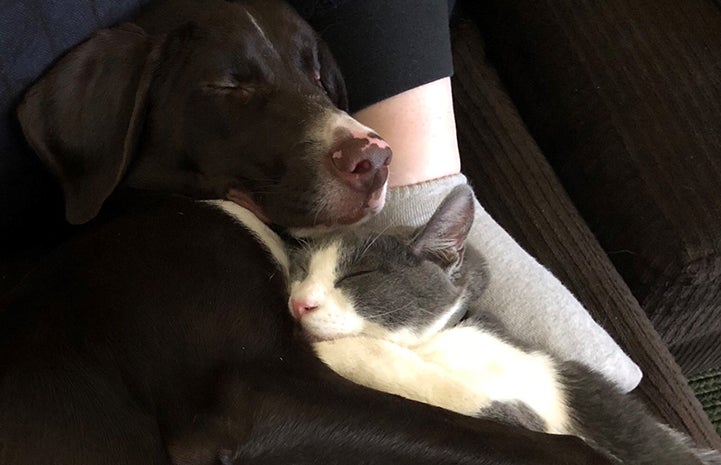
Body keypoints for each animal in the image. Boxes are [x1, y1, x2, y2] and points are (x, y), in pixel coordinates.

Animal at [286, 185, 720, 464]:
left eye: (357, 275)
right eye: (301, 270)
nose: (299, 303)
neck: (440, 341)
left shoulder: (533, 420)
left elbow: (432, 383)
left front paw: (340, 351)